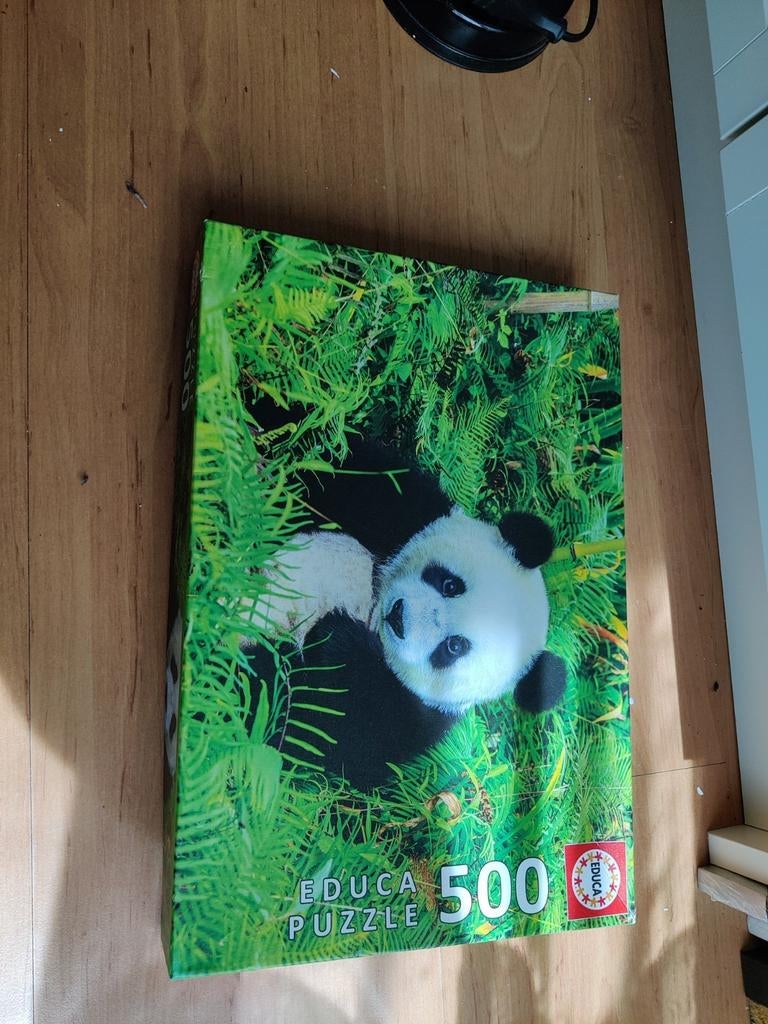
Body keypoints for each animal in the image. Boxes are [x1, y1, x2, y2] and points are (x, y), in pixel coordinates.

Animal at [239, 440, 566, 790]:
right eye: (451, 585)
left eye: (454, 647)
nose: (399, 616)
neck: (372, 600)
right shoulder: (409, 514)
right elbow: (342, 472)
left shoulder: (418, 713)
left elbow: (337, 737)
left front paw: (335, 635)